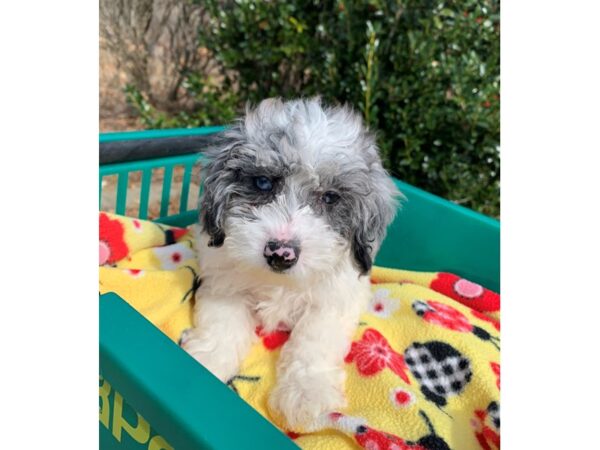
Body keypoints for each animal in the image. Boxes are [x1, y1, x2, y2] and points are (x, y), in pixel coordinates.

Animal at [180, 97, 400, 428]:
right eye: (262, 182)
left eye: (330, 198)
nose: (280, 253)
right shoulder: (223, 283)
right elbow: (222, 322)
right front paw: (207, 359)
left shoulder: (335, 300)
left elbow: (314, 341)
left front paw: (307, 392)